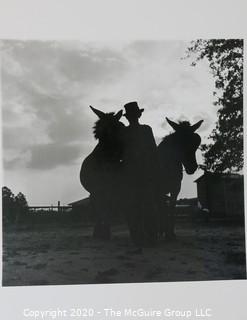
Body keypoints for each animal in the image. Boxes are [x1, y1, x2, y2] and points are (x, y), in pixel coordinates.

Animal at [80, 106, 124, 239]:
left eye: (121, 125)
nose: (121, 152)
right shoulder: (98, 189)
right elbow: (101, 209)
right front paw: (101, 233)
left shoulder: (111, 189)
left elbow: (107, 208)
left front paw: (105, 232)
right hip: (95, 192)